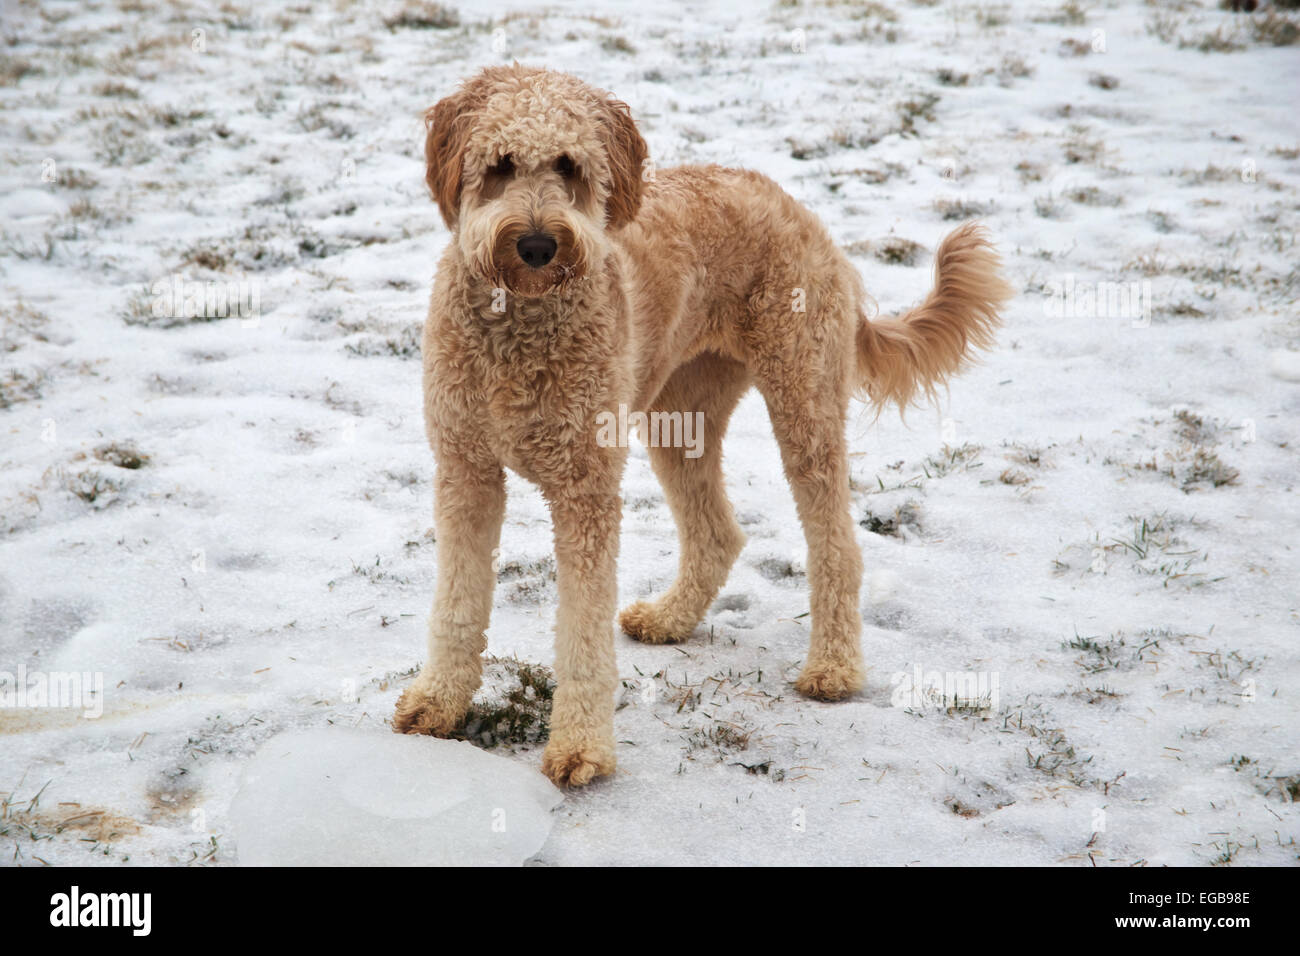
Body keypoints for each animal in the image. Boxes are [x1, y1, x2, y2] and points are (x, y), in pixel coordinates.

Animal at [390, 65, 1008, 785]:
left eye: (569, 165)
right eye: (500, 165)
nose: (538, 244)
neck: (520, 322)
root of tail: (800, 210)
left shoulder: (585, 490)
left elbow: (581, 629)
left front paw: (581, 749)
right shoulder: (466, 470)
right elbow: (456, 603)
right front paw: (437, 703)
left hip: (803, 402)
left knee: (836, 544)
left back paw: (833, 666)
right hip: (678, 417)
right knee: (718, 533)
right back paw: (670, 618)